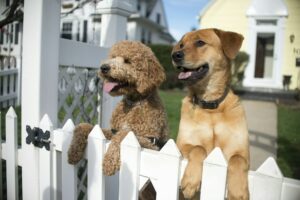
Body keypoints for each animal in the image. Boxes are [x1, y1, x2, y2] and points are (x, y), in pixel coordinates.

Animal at [172, 28, 250, 200]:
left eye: (200, 42)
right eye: (181, 44)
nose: (175, 55)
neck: (211, 107)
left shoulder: (242, 152)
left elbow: (237, 159)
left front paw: (238, 192)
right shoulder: (181, 145)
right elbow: (198, 148)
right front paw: (190, 182)